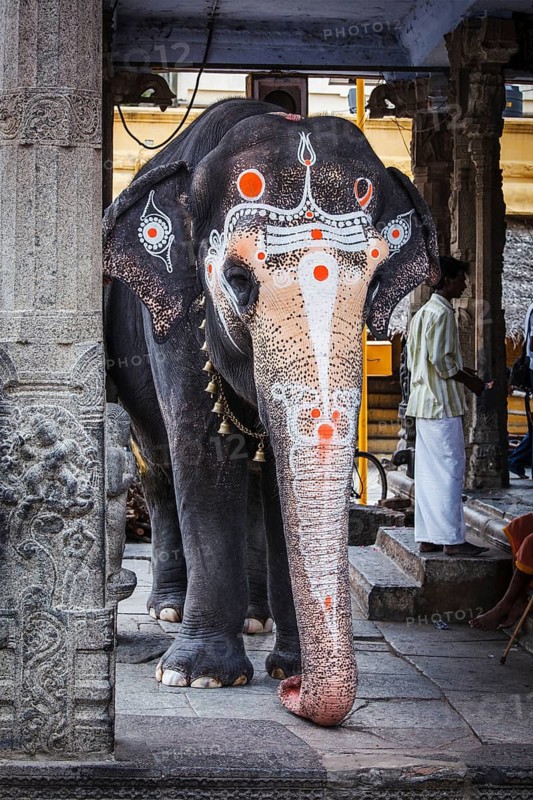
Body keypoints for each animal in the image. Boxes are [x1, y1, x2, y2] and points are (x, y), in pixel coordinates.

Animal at [103, 98, 439, 726]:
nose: (296, 697)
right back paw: (168, 611)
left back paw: (254, 619)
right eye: (237, 280)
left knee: (257, 482)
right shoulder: (178, 315)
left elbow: (281, 488)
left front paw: (288, 669)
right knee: (157, 463)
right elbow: (205, 456)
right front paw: (196, 676)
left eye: (376, 282)